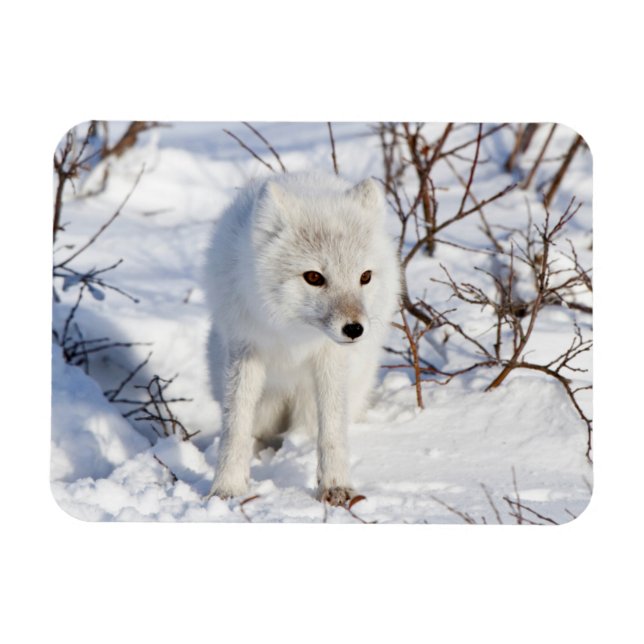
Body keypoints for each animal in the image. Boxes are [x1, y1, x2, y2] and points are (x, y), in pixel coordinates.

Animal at [204, 171, 400, 506]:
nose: (354, 330)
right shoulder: (246, 348)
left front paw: (335, 487)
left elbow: (332, 431)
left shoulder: (330, 357)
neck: (293, 333)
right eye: (314, 277)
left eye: (365, 276)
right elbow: (235, 427)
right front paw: (226, 488)